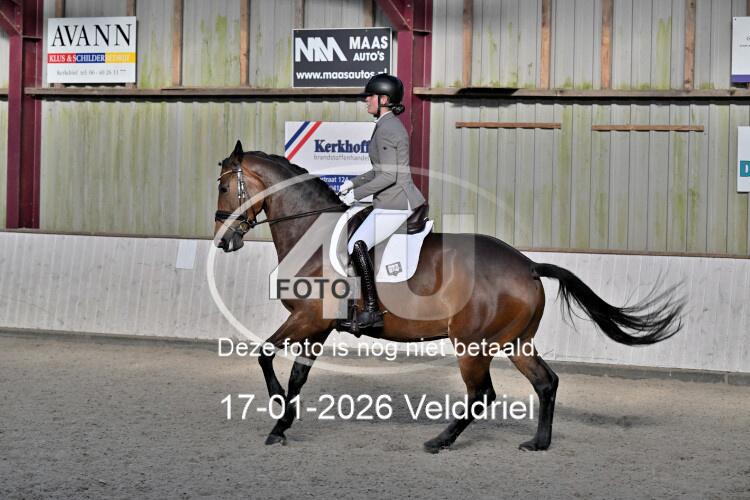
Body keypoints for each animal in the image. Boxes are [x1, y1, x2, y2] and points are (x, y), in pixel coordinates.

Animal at [213, 140, 684, 453]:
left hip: (472, 344)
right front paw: (282, 424)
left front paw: (278, 411)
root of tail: (528, 266)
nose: (223, 240)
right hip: (515, 341)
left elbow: (265, 355)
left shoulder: (309, 318)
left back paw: (439, 440)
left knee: (482, 395)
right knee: (545, 382)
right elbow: (297, 374)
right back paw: (538, 442)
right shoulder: (319, 324)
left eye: (222, 187)